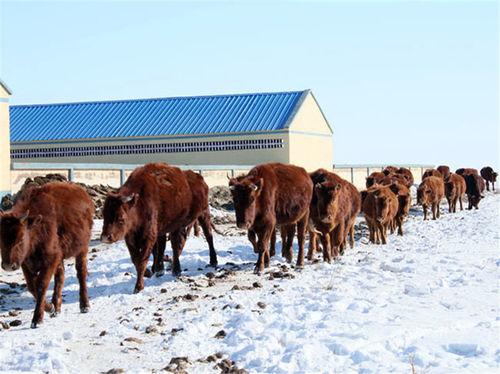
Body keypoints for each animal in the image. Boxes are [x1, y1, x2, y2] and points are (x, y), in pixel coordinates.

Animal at [0, 183, 94, 328]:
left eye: (21, 239)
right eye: (0, 238)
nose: (8, 266)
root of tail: (83, 194)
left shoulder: (50, 259)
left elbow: (41, 285)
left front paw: (37, 319)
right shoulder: (26, 263)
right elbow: (32, 286)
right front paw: (51, 308)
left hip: (82, 249)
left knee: (81, 273)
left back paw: (84, 305)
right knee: (60, 276)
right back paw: (57, 307)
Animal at [101, 163, 217, 292]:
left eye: (120, 217)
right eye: (104, 214)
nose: (105, 237)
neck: (138, 203)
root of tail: (199, 178)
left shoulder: (149, 236)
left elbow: (143, 260)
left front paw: (138, 287)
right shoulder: (131, 238)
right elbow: (137, 259)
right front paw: (150, 272)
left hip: (203, 213)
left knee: (208, 236)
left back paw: (211, 262)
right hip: (174, 226)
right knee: (175, 244)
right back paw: (167, 269)